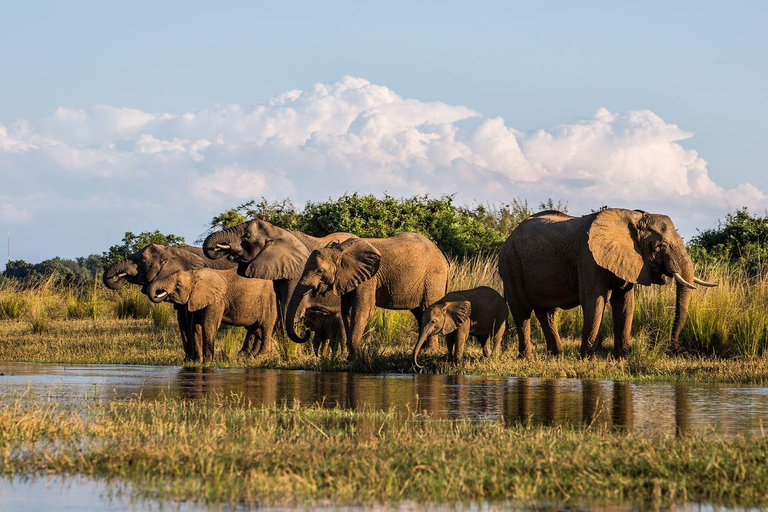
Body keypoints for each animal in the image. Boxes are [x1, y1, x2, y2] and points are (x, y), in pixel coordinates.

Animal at [102, 244, 238, 360]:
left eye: (142, 261)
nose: (120, 276)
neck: (170, 251)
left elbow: (189, 320)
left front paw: (192, 359)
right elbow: (182, 321)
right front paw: (188, 360)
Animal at [147, 266, 276, 362]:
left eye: (178, 284)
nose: (160, 292)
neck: (195, 275)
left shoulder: (216, 301)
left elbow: (208, 325)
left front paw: (208, 361)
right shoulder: (198, 298)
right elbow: (195, 326)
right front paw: (197, 362)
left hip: (269, 299)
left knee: (265, 327)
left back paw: (261, 355)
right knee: (255, 328)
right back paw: (258, 354)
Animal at [292, 233, 450, 360]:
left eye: (320, 271)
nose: (305, 332)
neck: (340, 250)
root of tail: (443, 257)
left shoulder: (369, 278)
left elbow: (362, 310)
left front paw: (354, 358)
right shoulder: (348, 278)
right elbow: (347, 311)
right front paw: (351, 356)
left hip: (434, 277)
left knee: (428, 308)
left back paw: (429, 352)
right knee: (419, 313)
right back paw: (421, 351)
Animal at [496, 210, 716, 358]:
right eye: (660, 245)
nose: (675, 348)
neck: (633, 217)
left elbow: (625, 304)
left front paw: (623, 356)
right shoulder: (588, 258)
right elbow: (594, 301)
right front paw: (587, 357)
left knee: (547, 313)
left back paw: (556, 355)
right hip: (510, 265)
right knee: (521, 312)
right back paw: (527, 357)